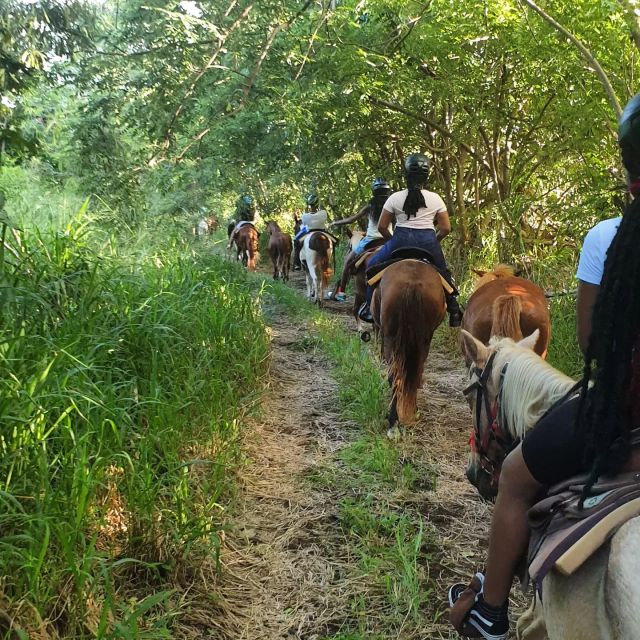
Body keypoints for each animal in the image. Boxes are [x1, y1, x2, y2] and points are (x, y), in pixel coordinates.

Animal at [372, 258, 448, 436]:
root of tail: (412, 283)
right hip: (422, 340)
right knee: (412, 373)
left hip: (392, 337)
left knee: (395, 376)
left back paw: (393, 420)